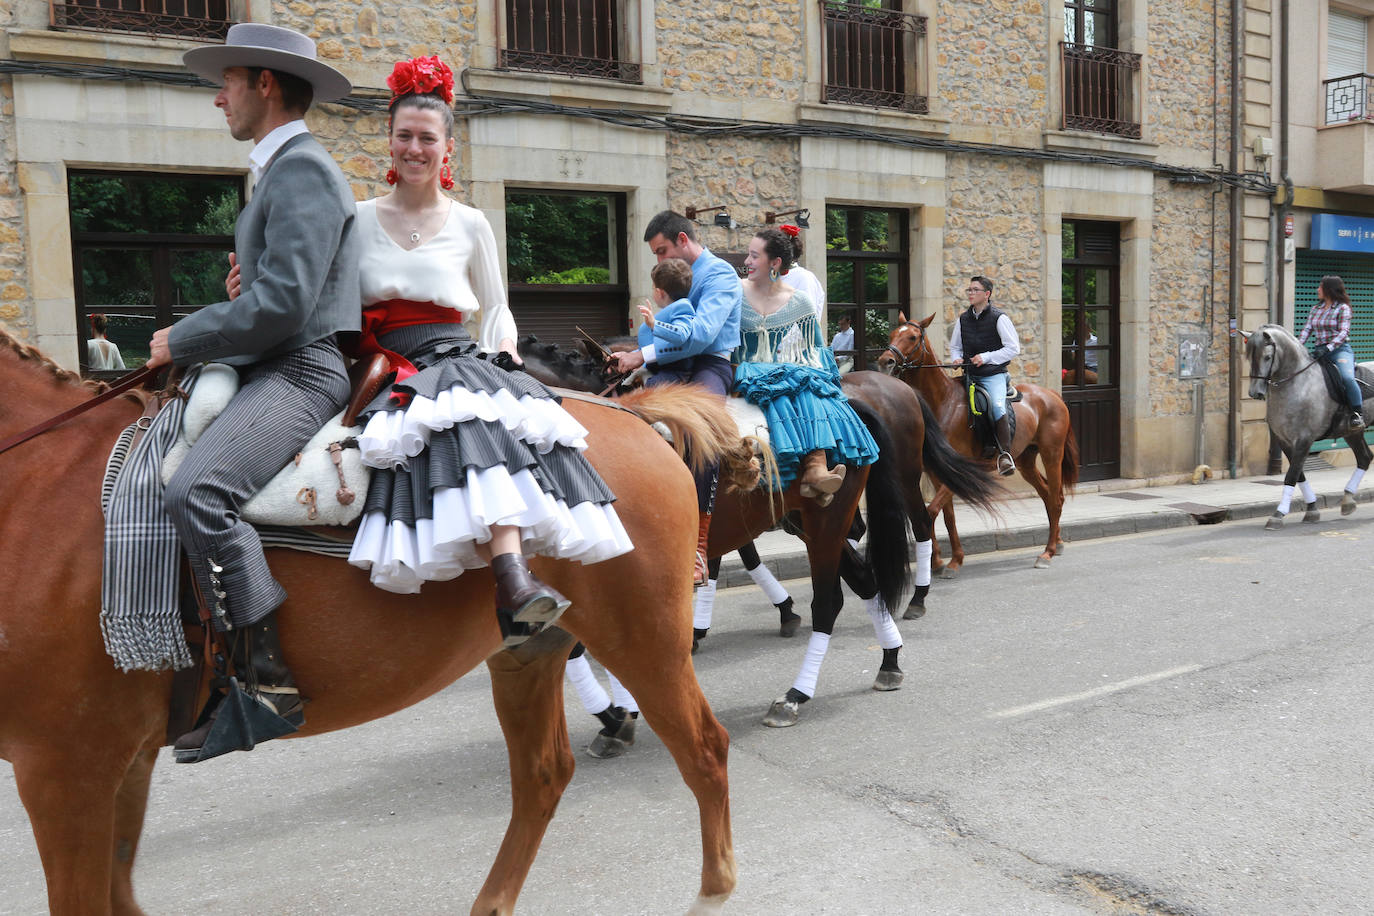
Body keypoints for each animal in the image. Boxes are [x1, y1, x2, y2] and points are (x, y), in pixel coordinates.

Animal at [0, 330, 741, 916]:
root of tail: (633, 416)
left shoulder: (67, 769)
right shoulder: (119, 761)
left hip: (644, 638)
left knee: (705, 750)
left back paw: (712, 893)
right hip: (526, 653)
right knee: (543, 777)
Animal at [873, 313, 1077, 574]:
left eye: (912, 337)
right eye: (892, 334)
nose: (885, 361)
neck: (943, 404)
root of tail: (1051, 395)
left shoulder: (960, 470)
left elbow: (931, 511)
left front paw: (940, 561)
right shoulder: (936, 473)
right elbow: (947, 516)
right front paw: (947, 561)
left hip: (1052, 454)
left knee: (1055, 499)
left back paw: (1047, 552)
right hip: (1026, 460)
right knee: (1047, 496)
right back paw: (1057, 543)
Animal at [1242, 325, 1368, 532]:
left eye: (1267, 357)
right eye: (1248, 357)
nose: (1255, 392)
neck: (1298, 384)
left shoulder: (1304, 439)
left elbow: (1291, 475)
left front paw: (1278, 515)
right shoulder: (1284, 441)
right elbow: (1298, 474)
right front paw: (1312, 510)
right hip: (1352, 433)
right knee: (1365, 457)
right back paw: (1348, 501)